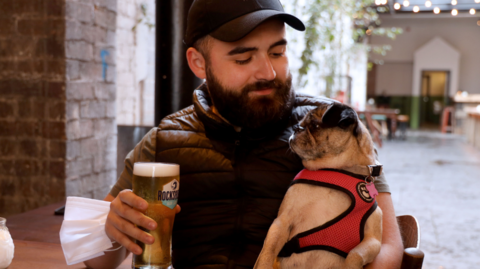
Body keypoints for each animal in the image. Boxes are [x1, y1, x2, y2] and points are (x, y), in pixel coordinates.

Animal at [255, 102, 382, 268]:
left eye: (315, 125)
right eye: (300, 123)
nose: (296, 128)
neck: (334, 170)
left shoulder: (373, 240)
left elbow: (355, 255)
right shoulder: (281, 222)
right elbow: (268, 252)